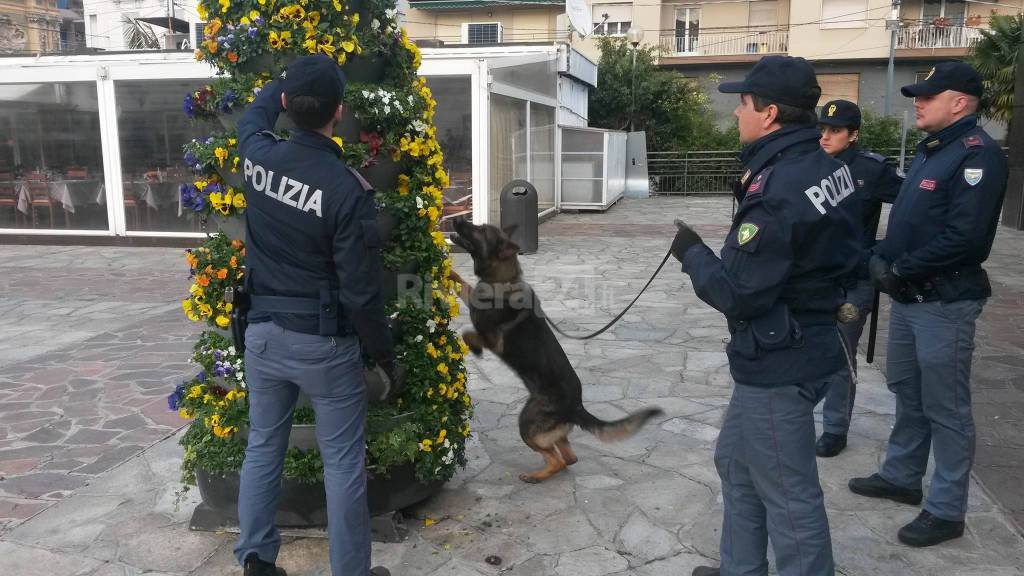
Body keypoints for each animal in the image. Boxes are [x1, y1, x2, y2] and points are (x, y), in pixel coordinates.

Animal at [450, 217, 663, 481]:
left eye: (480, 230)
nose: (457, 219)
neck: (501, 280)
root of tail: (577, 407)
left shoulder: (493, 339)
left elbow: (468, 333)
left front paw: (475, 349)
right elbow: (461, 283)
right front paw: (448, 272)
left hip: (527, 423)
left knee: (558, 459)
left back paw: (536, 476)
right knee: (569, 457)